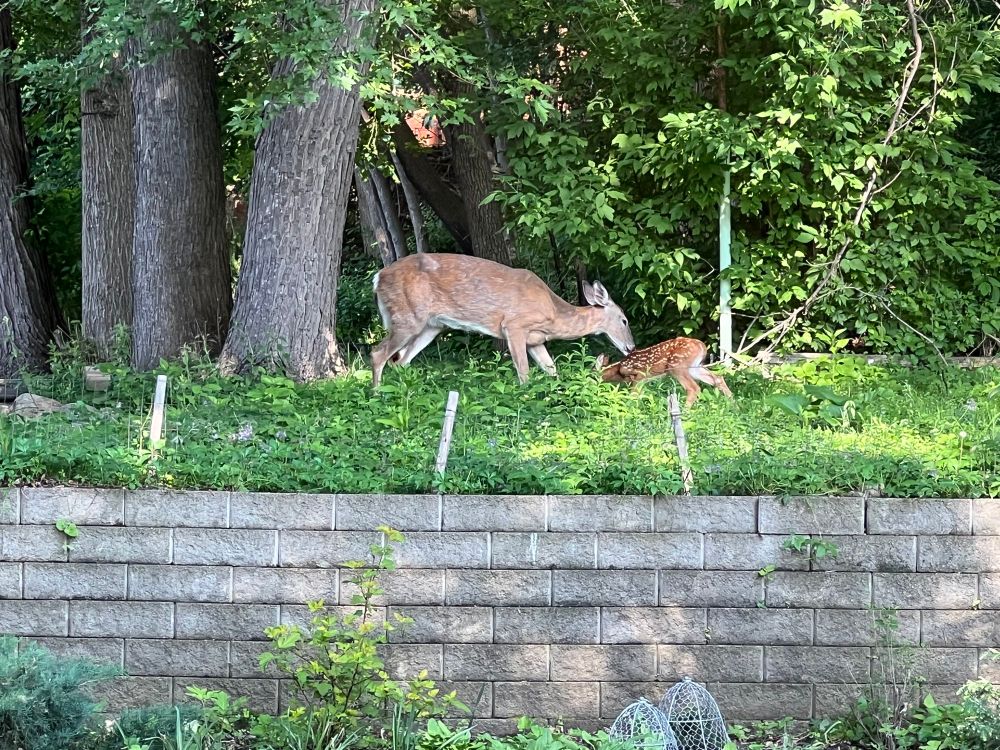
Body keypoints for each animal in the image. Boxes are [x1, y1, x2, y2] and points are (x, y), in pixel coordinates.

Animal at [370, 253, 635, 388]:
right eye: (624, 320)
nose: (631, 347)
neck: (553, 313)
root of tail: (378, 277)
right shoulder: (514, 325)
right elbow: (524, 373)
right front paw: (526, 396)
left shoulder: (535, 340)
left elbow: (552, 370)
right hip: (408, 317)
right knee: (378, 353)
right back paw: (377, 393)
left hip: (431, 326)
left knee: (400, 361)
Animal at [595, 337, 734, 407]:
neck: (619, 369)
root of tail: (701, 346)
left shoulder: (639, 376)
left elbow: (633, 396)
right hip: (695, 367)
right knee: (718, 378)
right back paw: (734, 406)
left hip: (677, 366)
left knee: (693, 388)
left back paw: (685, 413)